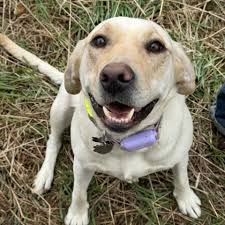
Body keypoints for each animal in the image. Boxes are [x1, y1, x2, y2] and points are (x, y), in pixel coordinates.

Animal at [0, 17, 200, 225]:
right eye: (99, 41)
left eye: (155, 46)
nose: (115, 76)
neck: (126, 141)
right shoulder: (82, 165)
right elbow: (79, 193)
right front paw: (77, 214)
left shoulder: (180, 156)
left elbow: (182, 178)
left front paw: (186, 198)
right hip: (60, 109)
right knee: (54, 140)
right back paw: (45, 173)